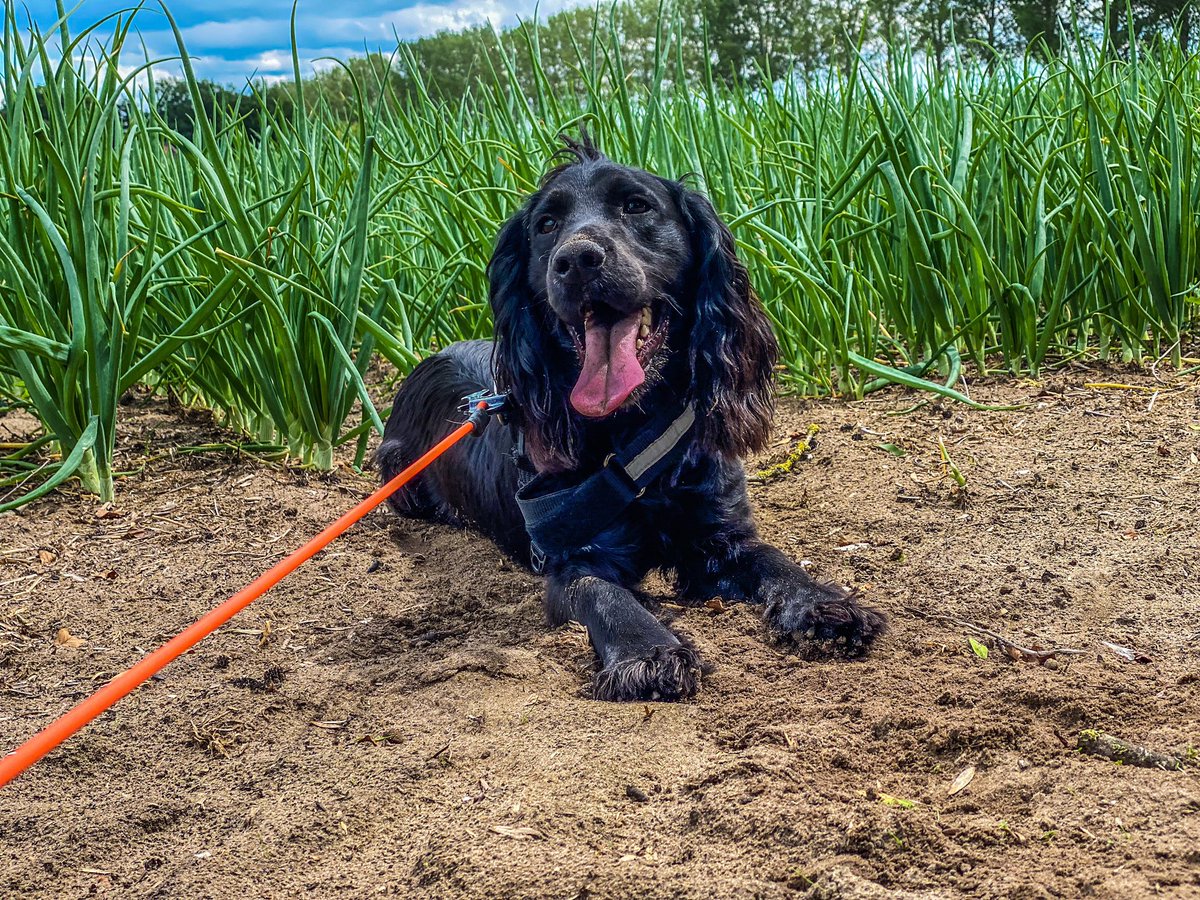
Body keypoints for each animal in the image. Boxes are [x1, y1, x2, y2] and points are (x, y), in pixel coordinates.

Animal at [379, 137, 888, 700]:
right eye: (546, 224)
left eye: (637, 206)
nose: (577, 260)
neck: (630, 437)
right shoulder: (571, 559)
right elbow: (606, 595)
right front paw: (647, 651)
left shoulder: (719, 536)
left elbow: (775, 559)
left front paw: (822, 604)